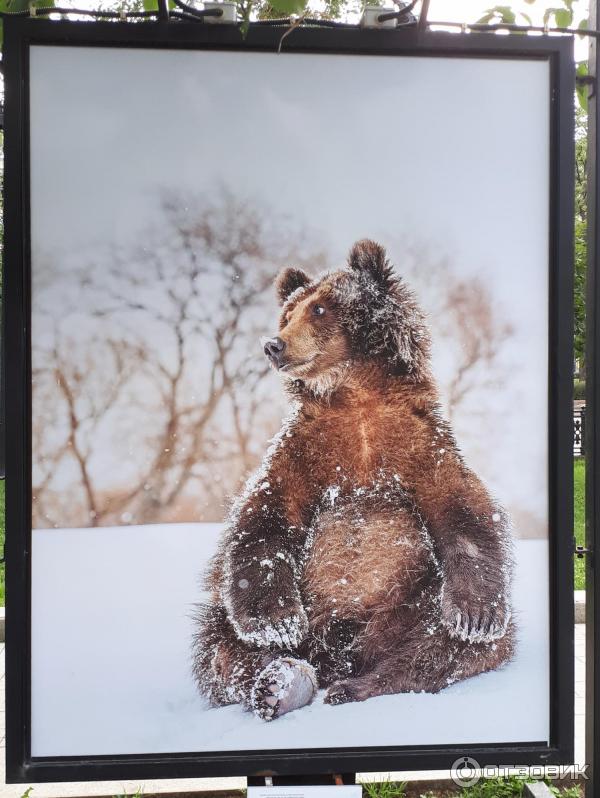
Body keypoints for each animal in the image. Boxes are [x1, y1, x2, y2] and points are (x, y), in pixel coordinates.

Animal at [193, 241, 516, 720]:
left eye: (320, 308)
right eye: (287, 314)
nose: (274, 344)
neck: (357, 398)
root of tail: (338, 653)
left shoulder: (422, 450)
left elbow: (464, 511)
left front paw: (475, 616)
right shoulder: (305, 454)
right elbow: (265, 517)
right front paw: (277, 623)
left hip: (404, 602)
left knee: (439, 639)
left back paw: (360, 685)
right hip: (253, 617)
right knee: (221, 646)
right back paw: (281, 682)